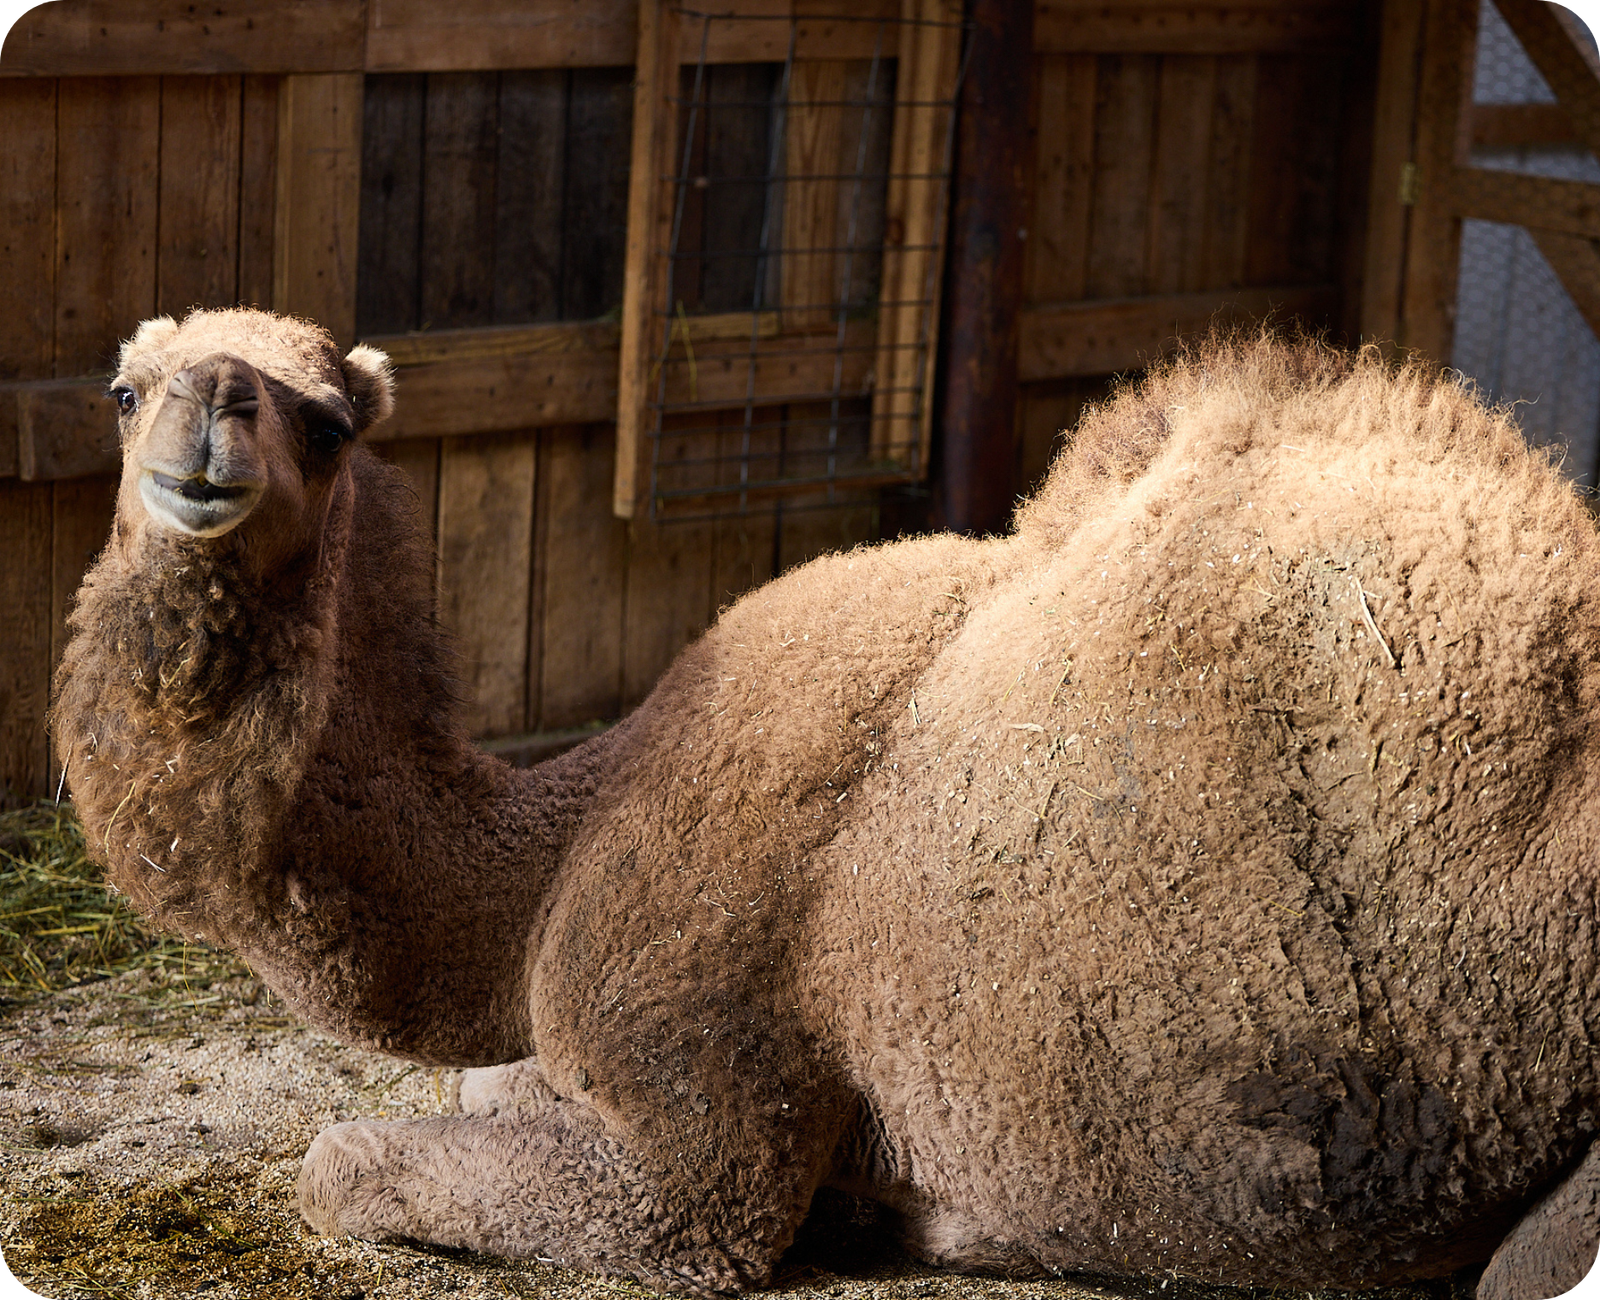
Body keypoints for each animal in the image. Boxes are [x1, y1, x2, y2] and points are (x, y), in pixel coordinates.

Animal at [52, 307, 1600, 1299]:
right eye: (127, 388)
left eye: (323, 416)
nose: (211, 411)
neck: (556, 852)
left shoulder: (699, 1140)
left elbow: (343, 1160)